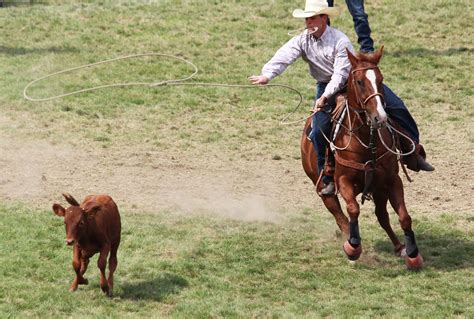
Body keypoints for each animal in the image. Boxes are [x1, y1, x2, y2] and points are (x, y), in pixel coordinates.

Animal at [300, 46, 422, 268]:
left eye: (381, 79)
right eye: (359, 81)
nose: (380, 118)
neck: (367, 140)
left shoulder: (391, 180)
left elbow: (404, 216)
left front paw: (413, 254)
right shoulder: (343, 180)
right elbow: (353, 209)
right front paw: (353, 247)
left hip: (379, 189)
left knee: (382, 216)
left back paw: (399, 247)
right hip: (322, 186)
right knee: (340, 216)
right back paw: (350, 243)